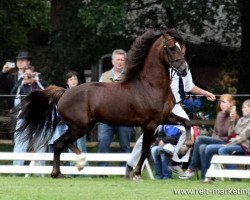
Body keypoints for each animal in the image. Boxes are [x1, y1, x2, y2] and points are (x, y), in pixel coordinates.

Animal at [19, 29, 191, 178]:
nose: (184, 70)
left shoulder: (165, 118)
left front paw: (182, 151)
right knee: (59, 143)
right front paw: (136, 174)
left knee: (62, 143)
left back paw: (69, 168)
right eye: (171, 47)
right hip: (79, 126)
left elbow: (187, 123)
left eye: (181, 48)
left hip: (84, 126)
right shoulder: (150, 124)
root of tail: (64, 92)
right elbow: (145, 150)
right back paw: (62, 171)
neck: (151, 85)